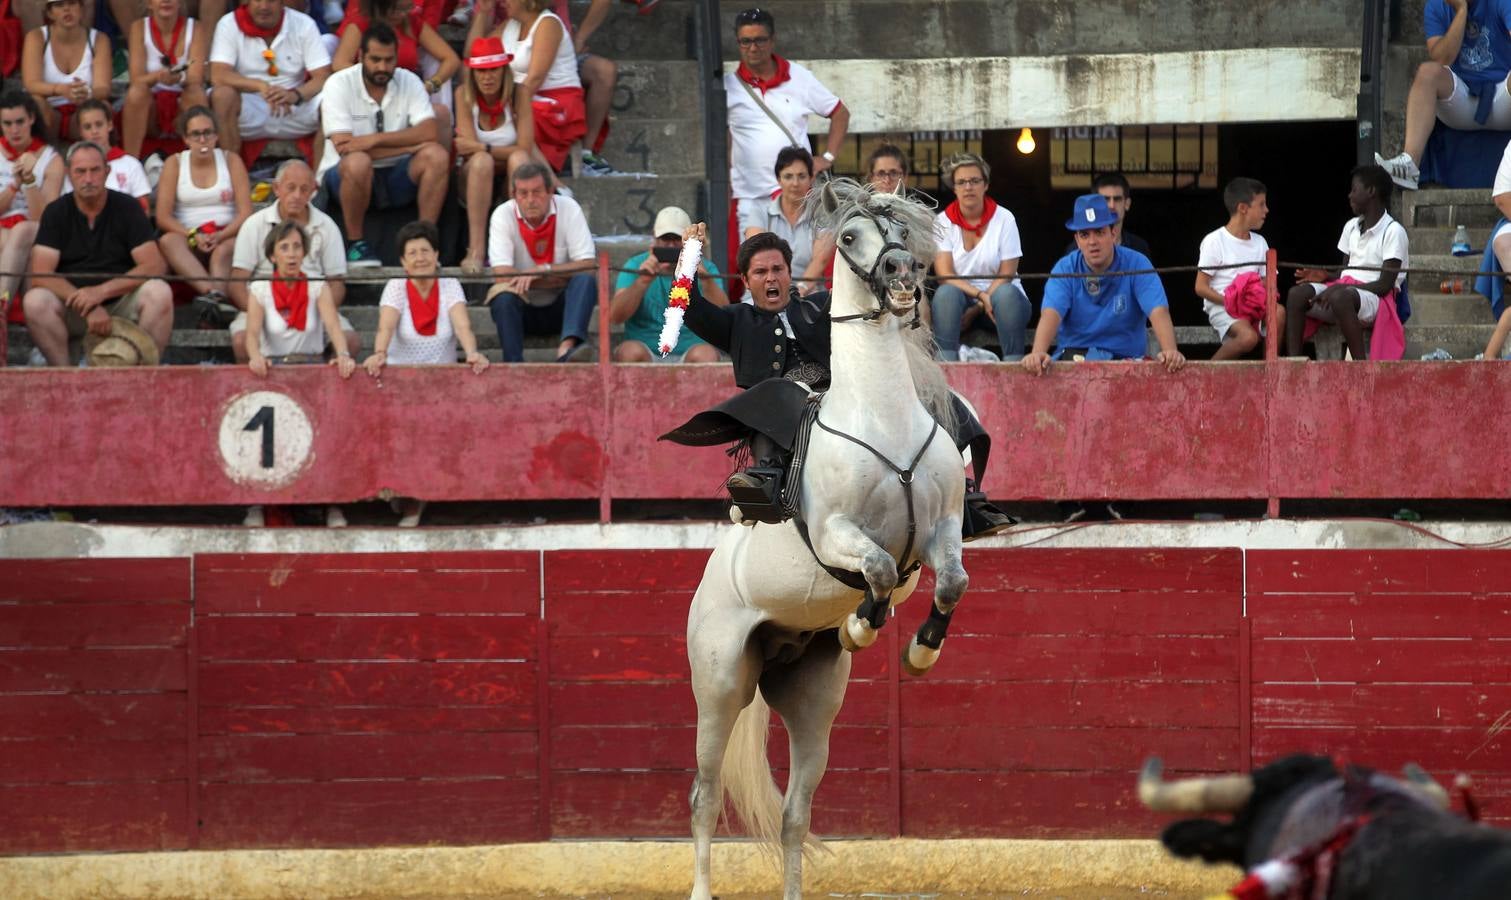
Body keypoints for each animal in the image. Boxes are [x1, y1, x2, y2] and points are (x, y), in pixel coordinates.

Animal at [685, 181, 967, 900]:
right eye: (848, 237)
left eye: (902, 227)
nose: (901, 274)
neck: (881, 413)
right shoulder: (839, 533)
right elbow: (876, 567)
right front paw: (864, 625)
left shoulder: (944, 531)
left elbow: (949, 581)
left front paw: (919, 650)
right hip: (719, 682)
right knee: (704, 797)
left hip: (812, 700)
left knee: (794, 816)